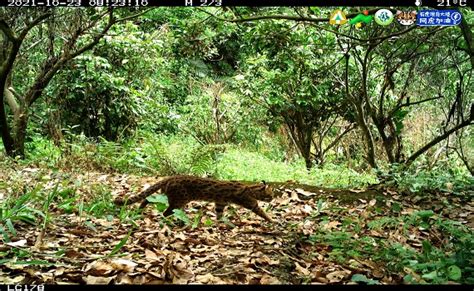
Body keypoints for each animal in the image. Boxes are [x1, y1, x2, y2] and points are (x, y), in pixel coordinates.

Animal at [114, 176, 274, 224]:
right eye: (270, 195)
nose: (272, 199)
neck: (250, 188)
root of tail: (171, 177)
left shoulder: (220, 203)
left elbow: (219, 213)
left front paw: (220, 222)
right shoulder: (251, 204)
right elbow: (262, 212)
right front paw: (272, 220)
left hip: (164, 195)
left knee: (148, 199)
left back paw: (140, 209)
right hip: (179, 200)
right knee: (165, 212)